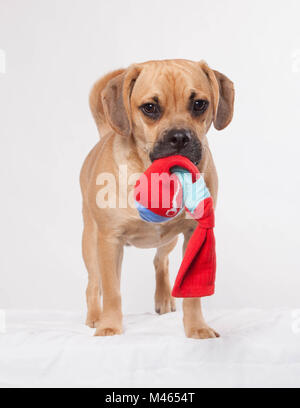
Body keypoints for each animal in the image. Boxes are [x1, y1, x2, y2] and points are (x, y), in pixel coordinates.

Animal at [79, 57, 234, 338]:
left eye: (199, 104)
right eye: (150, 108)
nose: (179, 137)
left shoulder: (194, 235)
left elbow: (192, 295)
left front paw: (196, 327)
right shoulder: (109, 240)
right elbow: (112, 291)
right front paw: (110, 326)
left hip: (167, 240)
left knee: (159, 261)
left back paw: (163, 299)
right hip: (91, 244)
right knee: (95, 282)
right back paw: (96, 316)